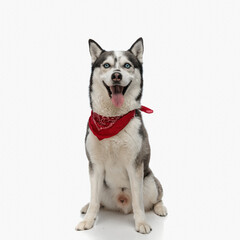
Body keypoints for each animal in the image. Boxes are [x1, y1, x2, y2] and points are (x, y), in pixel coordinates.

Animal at [75, 38, 167, 233]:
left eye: (127, 65)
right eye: (106, 65)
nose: (116, 75)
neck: (112, 119)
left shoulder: (135, 165)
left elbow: (139, 202)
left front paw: (141, 223)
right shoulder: (95, 165)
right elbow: (94, 199)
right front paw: (88, 220)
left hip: (149, 181)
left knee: (157, 196)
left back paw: (160, 208)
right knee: (97, 200)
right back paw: (87, 207)